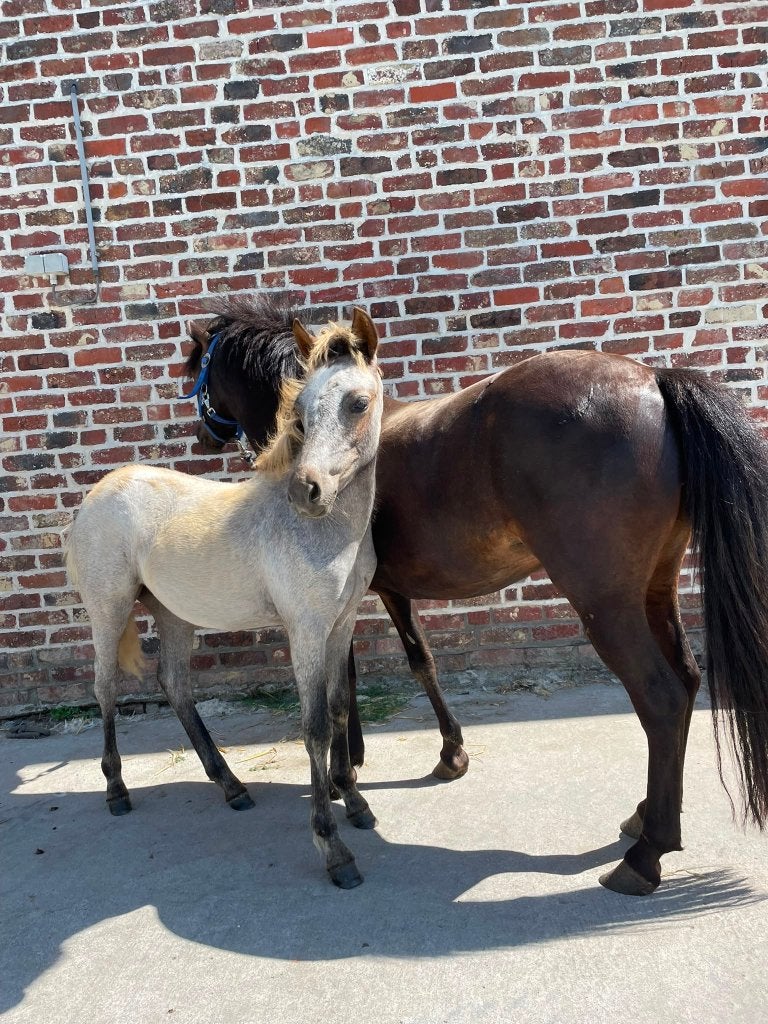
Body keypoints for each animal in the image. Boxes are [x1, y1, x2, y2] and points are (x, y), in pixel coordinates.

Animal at [66, 309, 384, 889]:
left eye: (357, 402)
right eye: (300, 410)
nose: (306, 492)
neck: (326, 531)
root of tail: (97, 494)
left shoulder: (342, 624)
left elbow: (339, 709)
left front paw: (356, 804)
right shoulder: (306, 631)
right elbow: (315, 726)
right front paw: (334, 849)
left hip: (172, 615)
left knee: (175, 685)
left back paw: (231, 785)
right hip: (109, 608)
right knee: (104, 688)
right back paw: (116, 790)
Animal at [184, 293, 768, 897]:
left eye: (195, 363)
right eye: (302, 408)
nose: (203, 435)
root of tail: (654, 379)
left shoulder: (354, 598)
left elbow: (356, 676)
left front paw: (353, 773)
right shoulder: (378, 593)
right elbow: (418, 660)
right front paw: (443, 753)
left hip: (607, 605)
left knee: (661, 697)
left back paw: (646, 854)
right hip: (655, 588)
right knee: (688, 679)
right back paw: (647, 814)